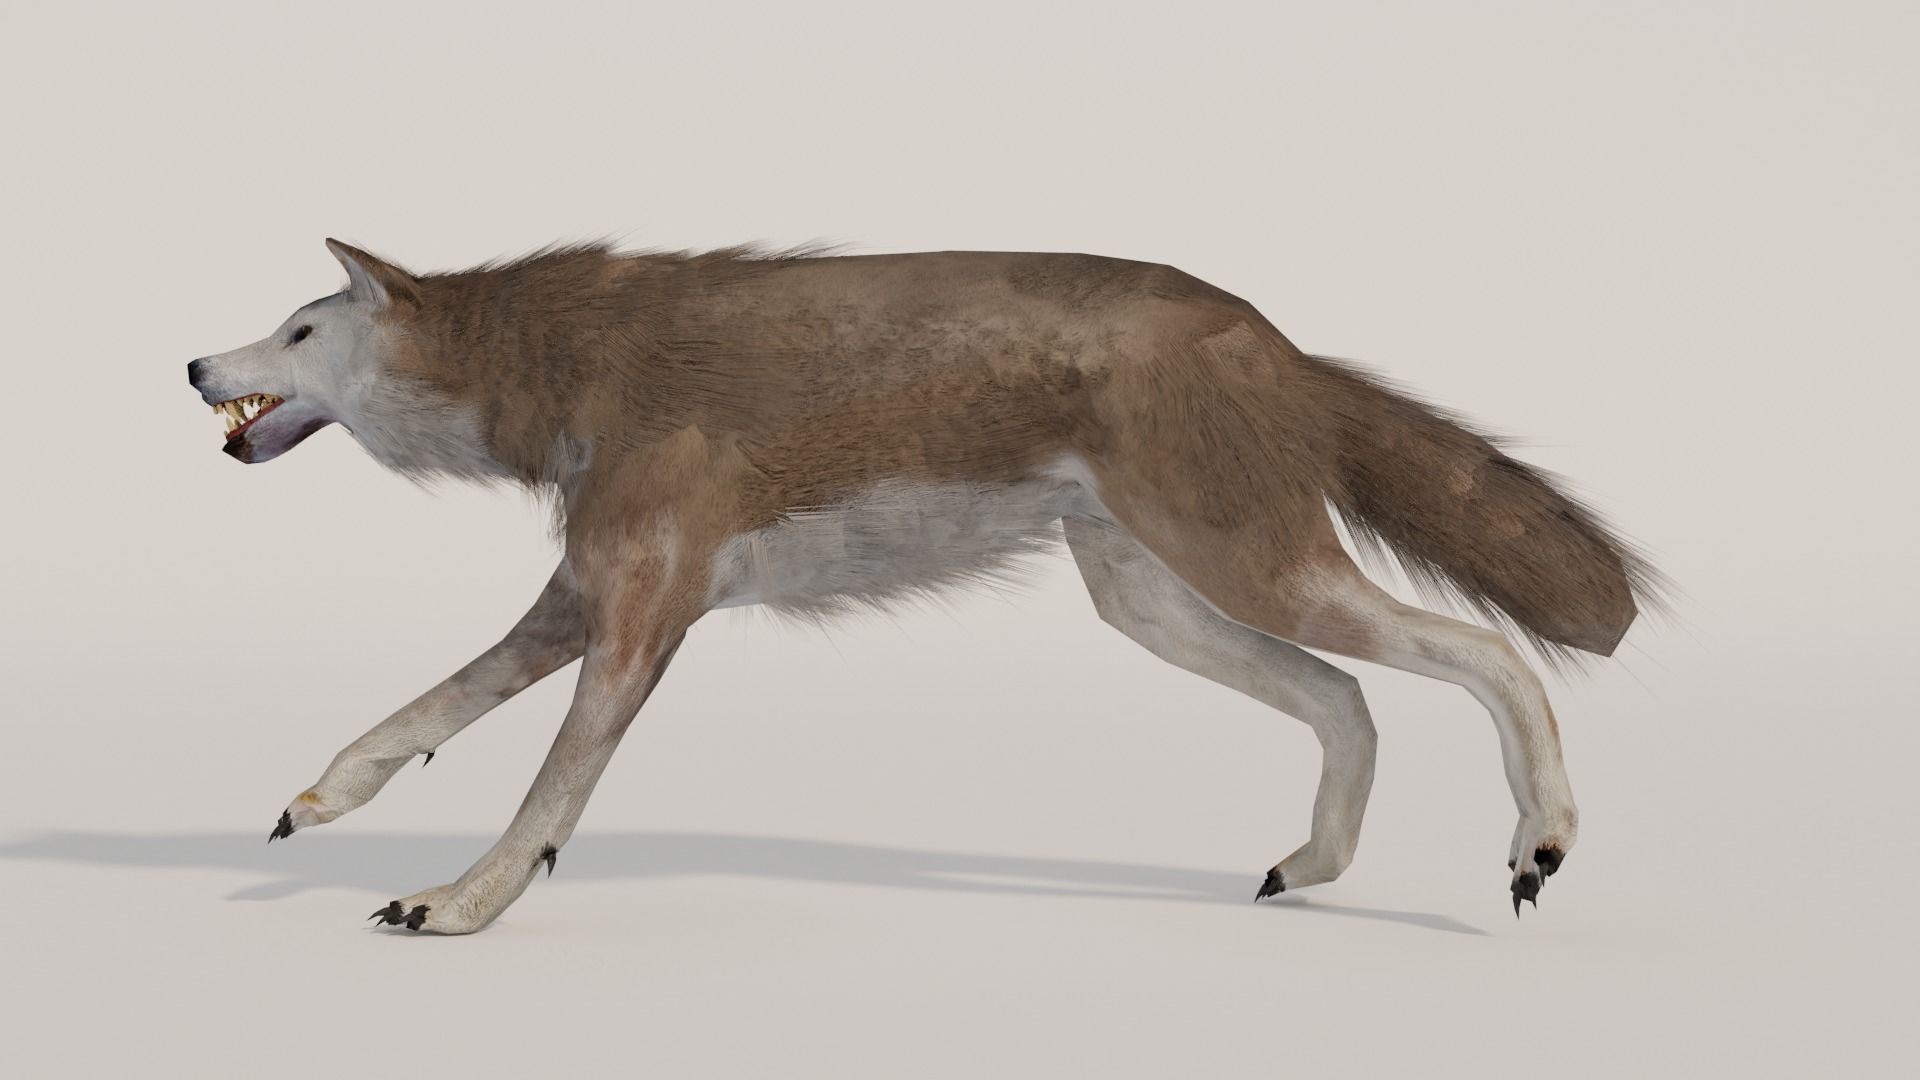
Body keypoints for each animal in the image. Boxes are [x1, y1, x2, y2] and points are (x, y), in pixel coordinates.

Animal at [187, 239, 1662, 933]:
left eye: (299, 330)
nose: (194, 365)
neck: (571, 368)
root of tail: (1270, 334)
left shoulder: (643, 613)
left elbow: (546, 793)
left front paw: (458, 904)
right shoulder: (586, 596)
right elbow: (418, 717)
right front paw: (319, 803)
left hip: (1252, 572)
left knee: (1488, 658)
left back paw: (1541, 841)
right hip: (1164, 604)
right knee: (1353, 700)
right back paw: (1310, 866)